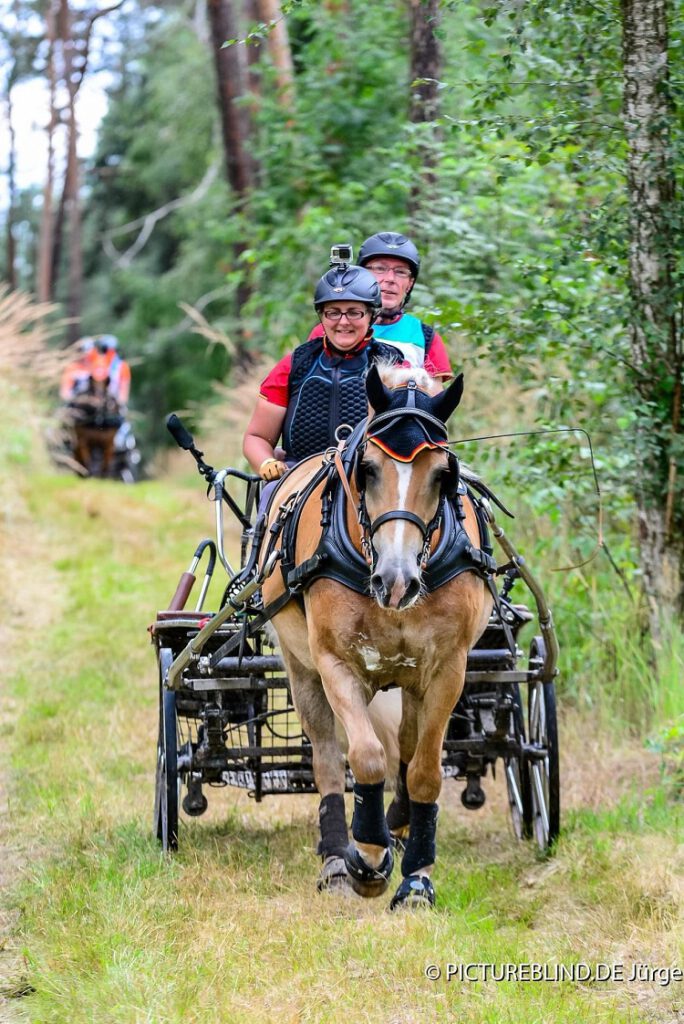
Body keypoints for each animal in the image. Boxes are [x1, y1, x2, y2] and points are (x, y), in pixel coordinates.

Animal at [259, 364, 493, 909]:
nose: (397, 579)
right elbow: (364, 758)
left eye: (443, 475)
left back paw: (399, 827)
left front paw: (417, 878)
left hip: (408, 679)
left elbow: (424, 770)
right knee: (327, 756)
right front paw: (366, 857)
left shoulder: (448, 668)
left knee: (406, 747)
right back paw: (335, 858)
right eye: (366, 469)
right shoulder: (335, 663)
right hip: (302, 669)